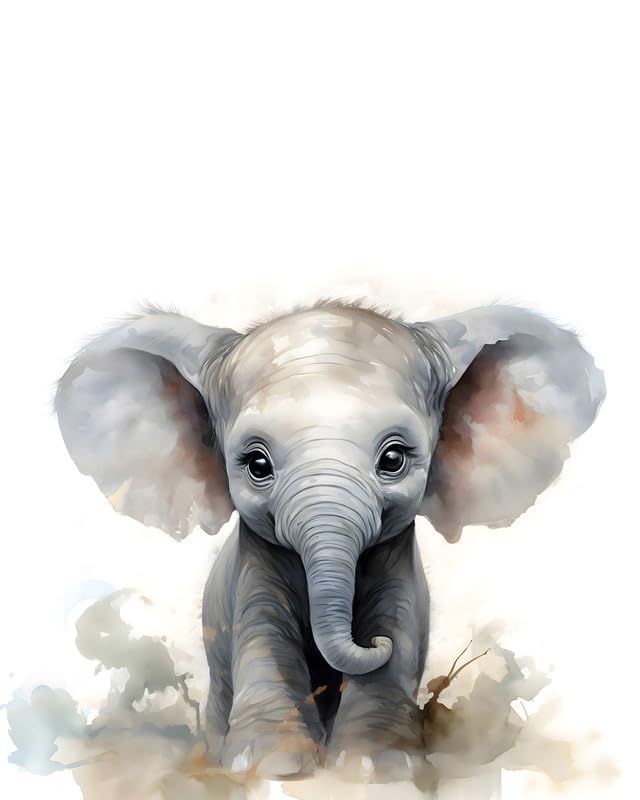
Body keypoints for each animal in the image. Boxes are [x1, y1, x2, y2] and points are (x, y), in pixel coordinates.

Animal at [54, 299, 605, 780]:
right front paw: (267, 766)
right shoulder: (251, 569)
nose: (369, 642)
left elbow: (398, 622)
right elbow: (263, 631)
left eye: (393, 459)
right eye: (257, 465)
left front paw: (378, 768)